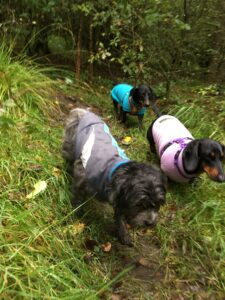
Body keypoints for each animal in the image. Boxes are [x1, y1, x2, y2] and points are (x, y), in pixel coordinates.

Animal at [62, 108, 166, 246]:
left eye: (158, 204)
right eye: (139, 204)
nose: (150, 223)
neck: (114, 172)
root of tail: (83, 111)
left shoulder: (121, 200)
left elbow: (119, 217)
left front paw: (123, 235)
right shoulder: (82, 177)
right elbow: (77, 198)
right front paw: (76, 214)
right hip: (70, 144)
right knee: (67, 156)